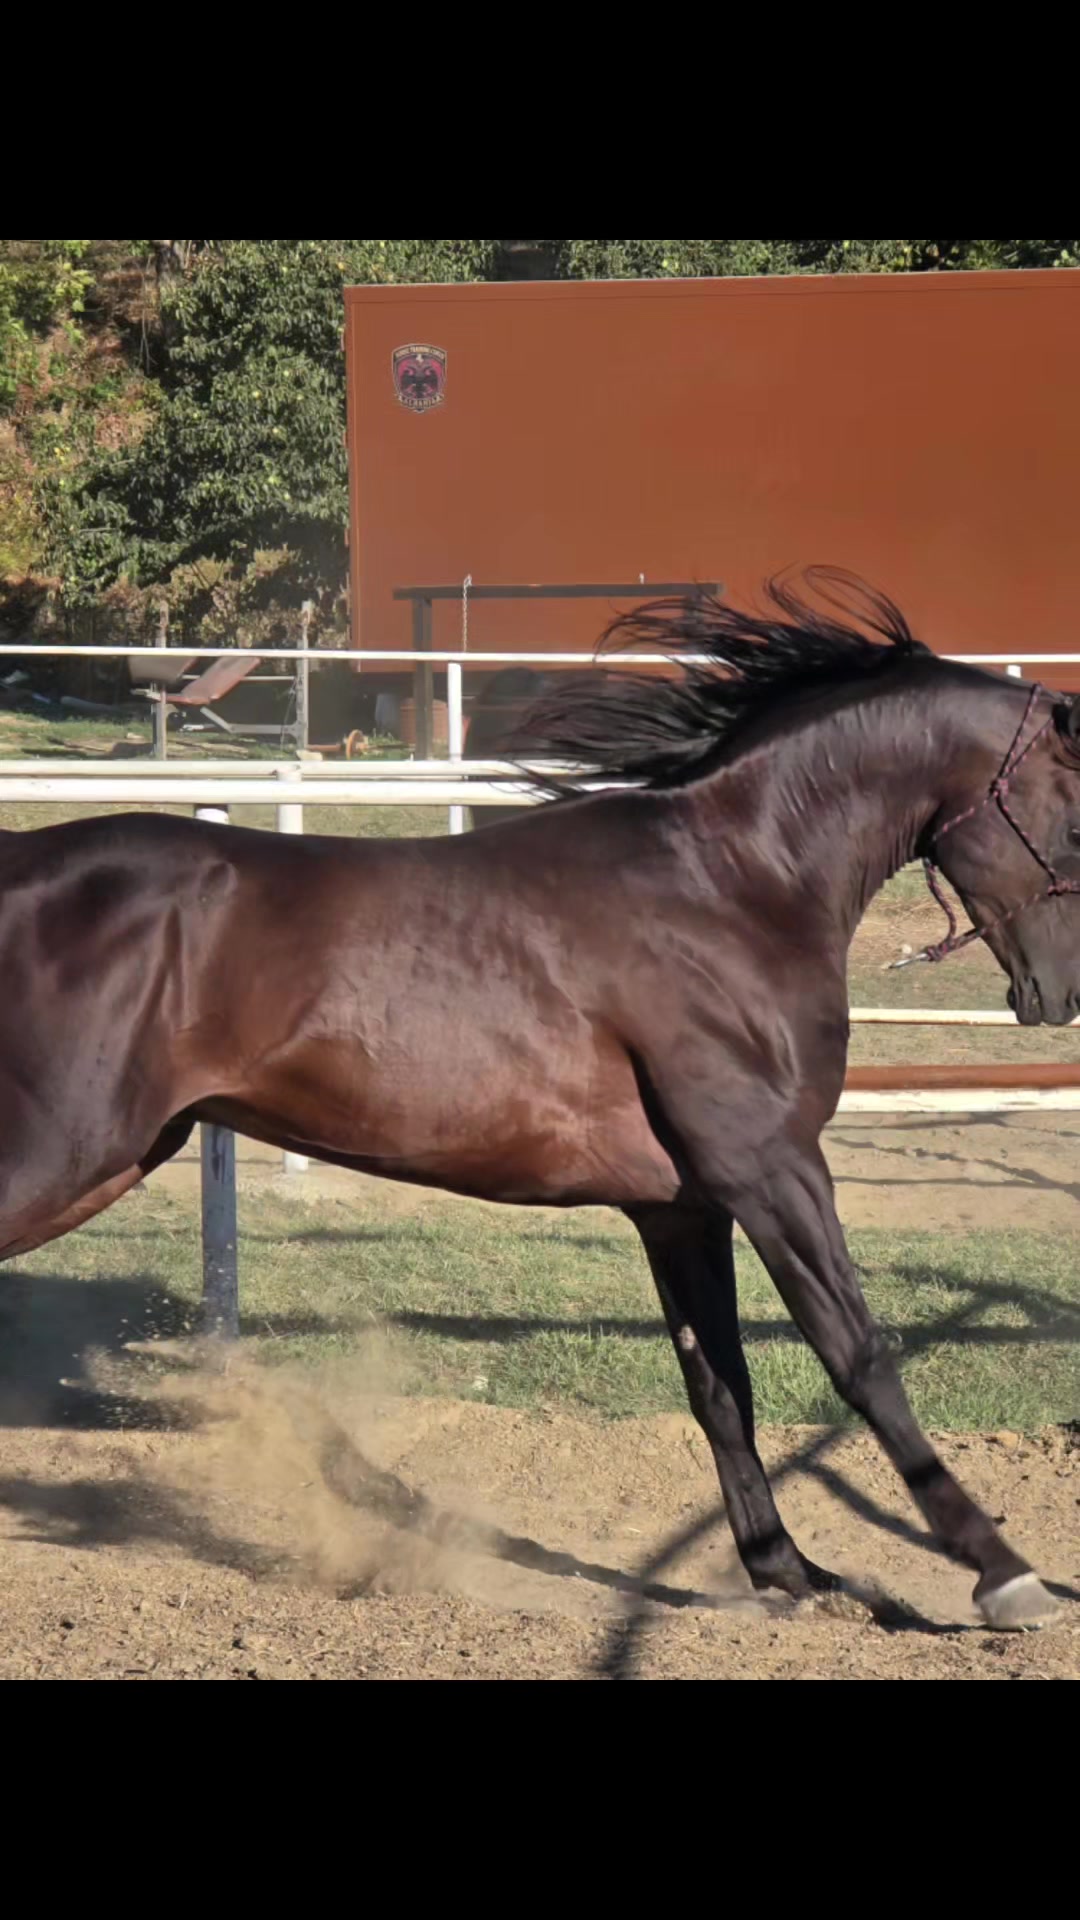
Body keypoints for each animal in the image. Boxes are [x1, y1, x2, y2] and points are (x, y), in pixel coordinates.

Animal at [1, 570, 1077, 1631]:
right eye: (1073, 813)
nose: (1058, 993)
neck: (729, 888)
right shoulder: (773, 1171)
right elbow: (859, 1357)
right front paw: (1004, 1576)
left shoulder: (682, 1207)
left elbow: (719, 1382)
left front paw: (786, 1570)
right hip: (69, 1151)